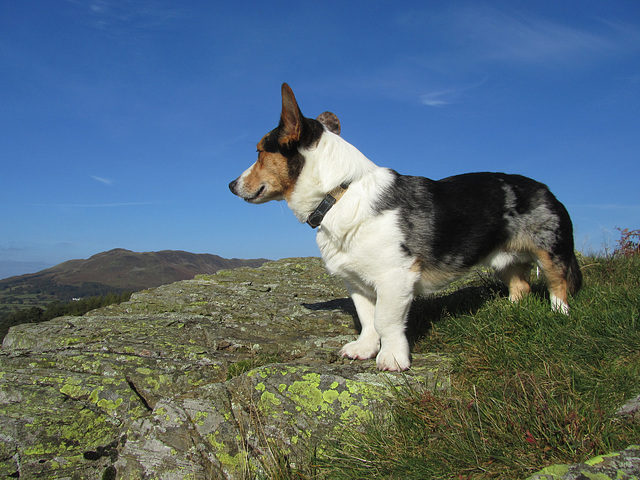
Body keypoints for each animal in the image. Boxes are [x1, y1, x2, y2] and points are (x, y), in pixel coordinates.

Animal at [229, 83, 580, 372]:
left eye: (259, 151)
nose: (231, 185)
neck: (340, 193)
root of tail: (545, 188)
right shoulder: (357, 284)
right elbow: (367, 320)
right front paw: (364, 349)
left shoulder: (395, 277)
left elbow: (385, 321)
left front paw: (392, 358)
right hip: (502, 261)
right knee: (520, 287)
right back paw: (508, 312)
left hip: (550, 251)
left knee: (558, 285)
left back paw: (560, 315)